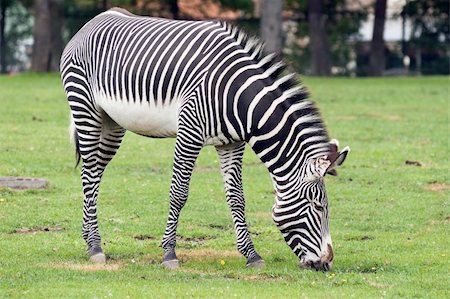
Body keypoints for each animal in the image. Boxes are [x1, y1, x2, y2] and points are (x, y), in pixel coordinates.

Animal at [59, 8, 350, 274]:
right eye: (318, 206)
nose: (326, 263)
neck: (238, 99)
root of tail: (92, 22)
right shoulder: (189, 131)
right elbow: (178, 193)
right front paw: (169, 253)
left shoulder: (231, 143)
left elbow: (236, 197)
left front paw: (251, 255)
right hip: (86, 108)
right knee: (89, 174)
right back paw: (95, 247)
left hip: (112, 122)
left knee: (95, 172)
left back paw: (89, 238)